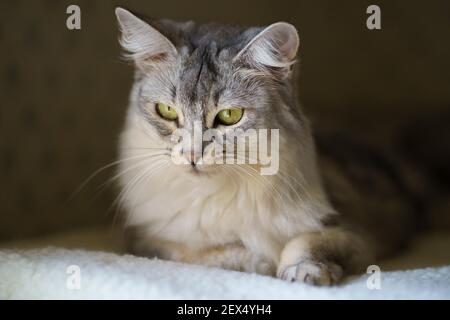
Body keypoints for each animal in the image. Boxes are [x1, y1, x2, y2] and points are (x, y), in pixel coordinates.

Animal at [114, 7, 416, 284]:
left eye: (229, 116)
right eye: (166, 111)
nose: (191, 155)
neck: (216, 194)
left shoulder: (360, 232)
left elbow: (308, 240)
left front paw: (304, 271)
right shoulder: (145, 240)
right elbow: (209, 253)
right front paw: (262, 262)